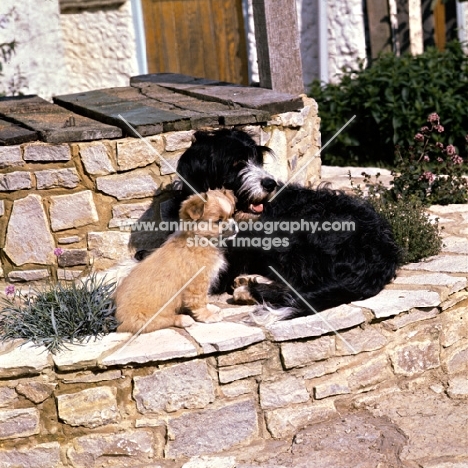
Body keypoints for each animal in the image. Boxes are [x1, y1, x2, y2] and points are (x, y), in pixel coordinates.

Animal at [114, 188, 238, 334]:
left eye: (231, 215)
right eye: (218, 221)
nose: (234, 226)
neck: (199, 239)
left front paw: (210, 308)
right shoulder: (197, 283)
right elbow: (199, 301)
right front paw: (207, 316)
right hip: (143, 317)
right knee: (159, 321)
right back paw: (183, 319)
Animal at [164, 128, 398, 322]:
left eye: (258, 161)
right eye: (237, 163)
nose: (270, 184)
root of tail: (383, 254)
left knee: (300, 284)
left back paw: (248, 290)